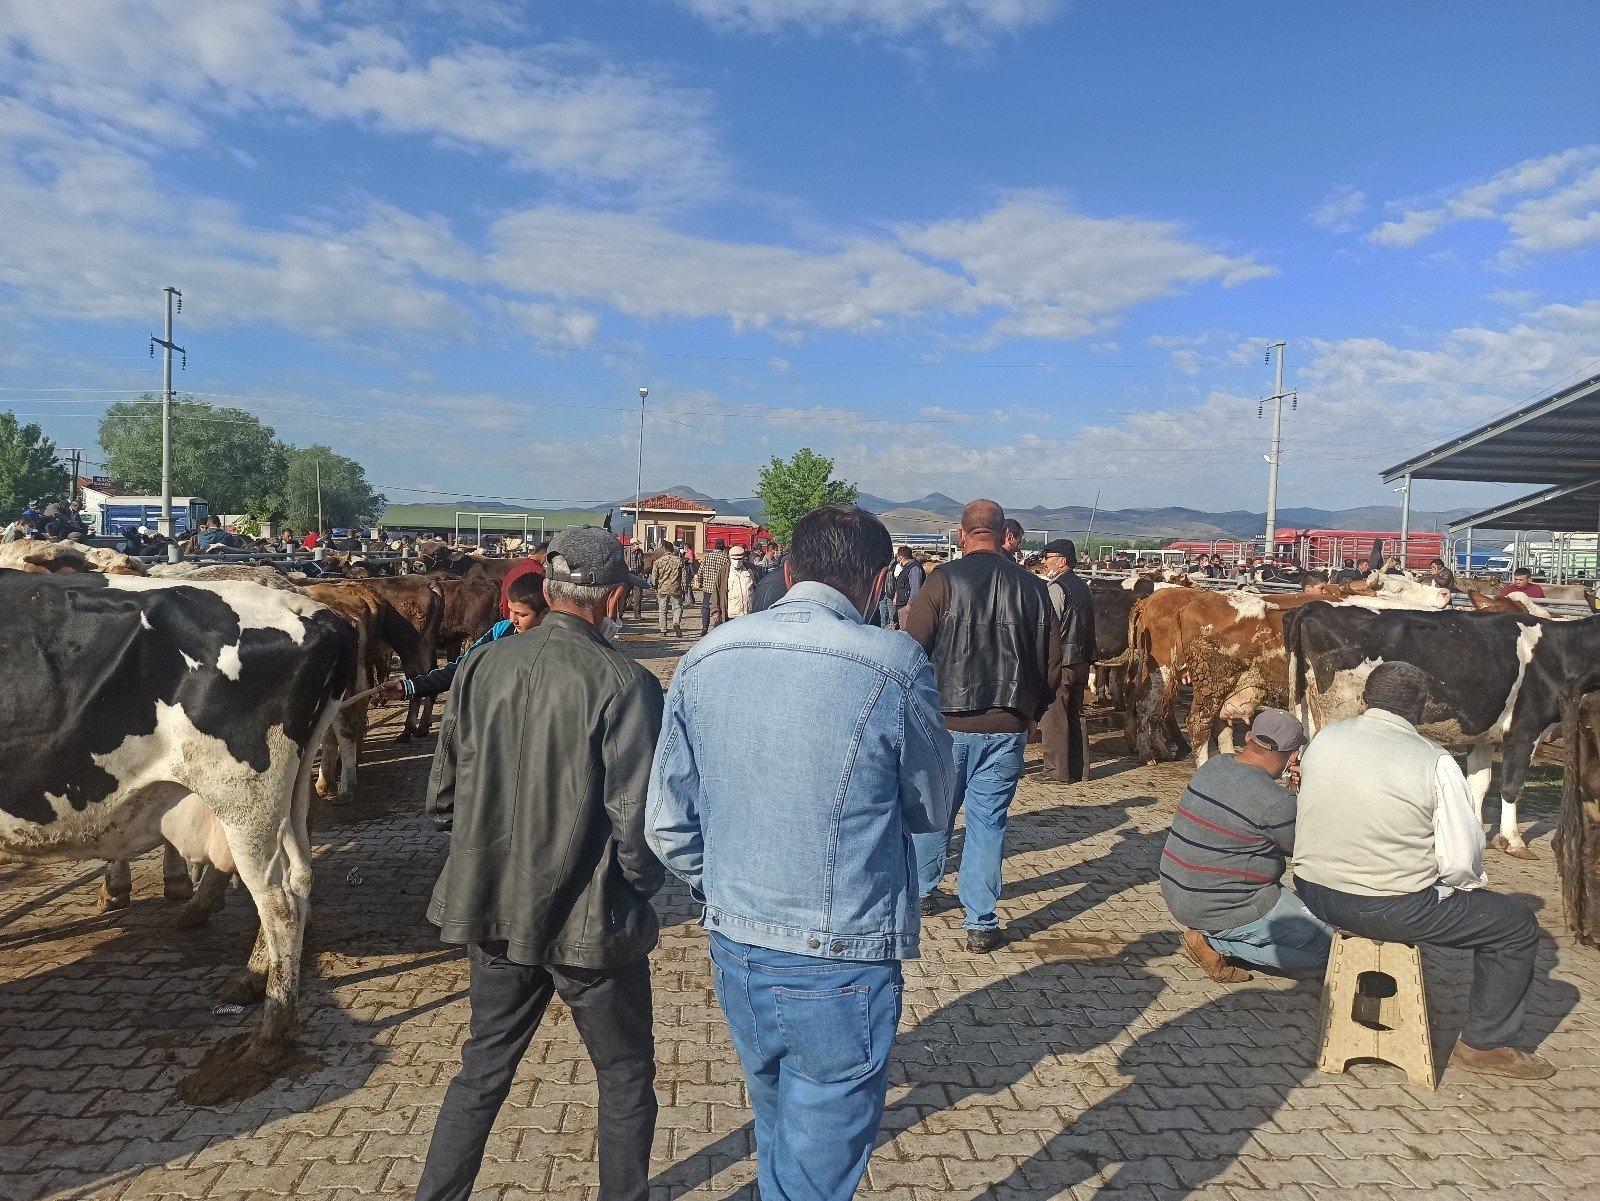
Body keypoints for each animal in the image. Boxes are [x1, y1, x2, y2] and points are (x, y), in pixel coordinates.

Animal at [0, 572, 356, 1100]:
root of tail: (317, 613)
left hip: (243, 796)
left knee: (278, 900)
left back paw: (271, 1033)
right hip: (287, 796)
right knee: (300, 878)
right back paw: (253, 980)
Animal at [1280, 604, 1600, 857]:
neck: (1558, 653)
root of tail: (1316, 606)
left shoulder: (1483, 734)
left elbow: (1478, 784)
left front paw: (1474, 831)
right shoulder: (1525, 728)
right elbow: (1512, 786)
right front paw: (1513, 841)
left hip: (1307, 711)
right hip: (1339, 711)